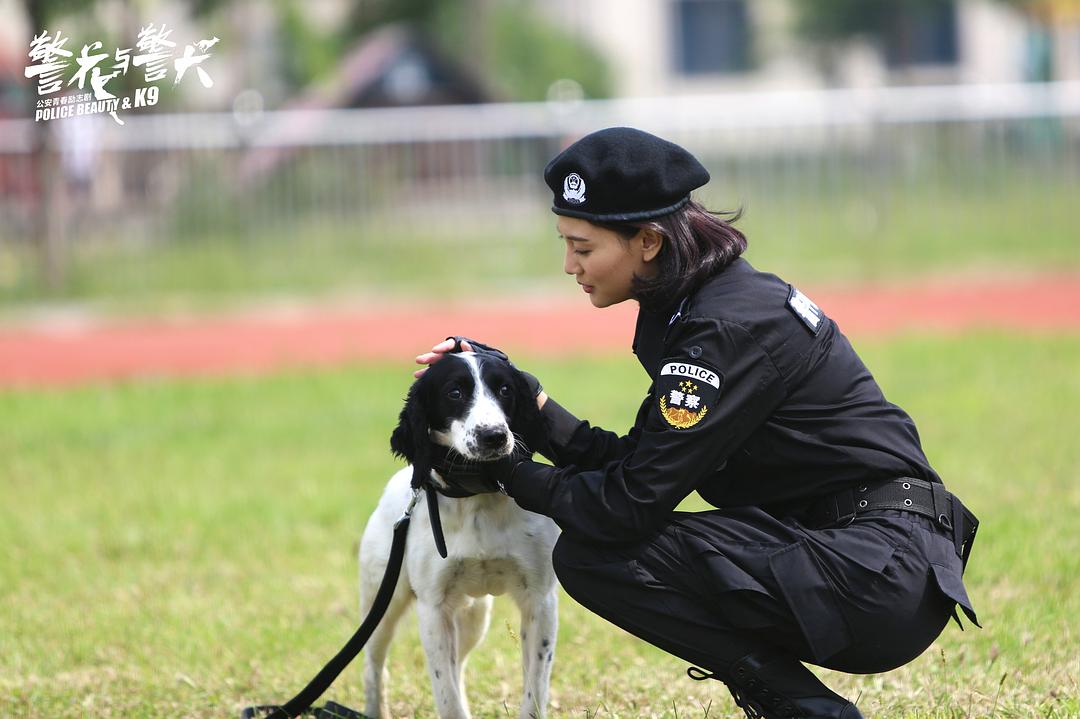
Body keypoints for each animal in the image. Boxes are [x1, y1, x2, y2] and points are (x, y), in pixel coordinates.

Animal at [360, 349, 561, 712]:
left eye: (505, 389)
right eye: (454, 392)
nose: (494, 436)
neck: (477, 497)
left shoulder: (540, 601)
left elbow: (534, 693)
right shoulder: (433, 609)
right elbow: (447, 696)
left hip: (473, 616)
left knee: (460, 666)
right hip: (381, 606)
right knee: (373, 668)